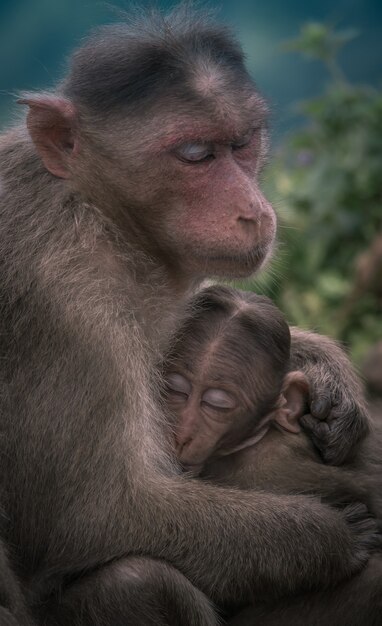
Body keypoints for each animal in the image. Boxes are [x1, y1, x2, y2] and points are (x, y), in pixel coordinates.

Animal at [0, 6, 376, 624]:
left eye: (242, 144)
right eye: (196, 155)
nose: (252, 210)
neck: (102, 215)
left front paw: (327, 372)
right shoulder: (67, 304)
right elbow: (98, 517)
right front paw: (331, 537)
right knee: (138, 580)